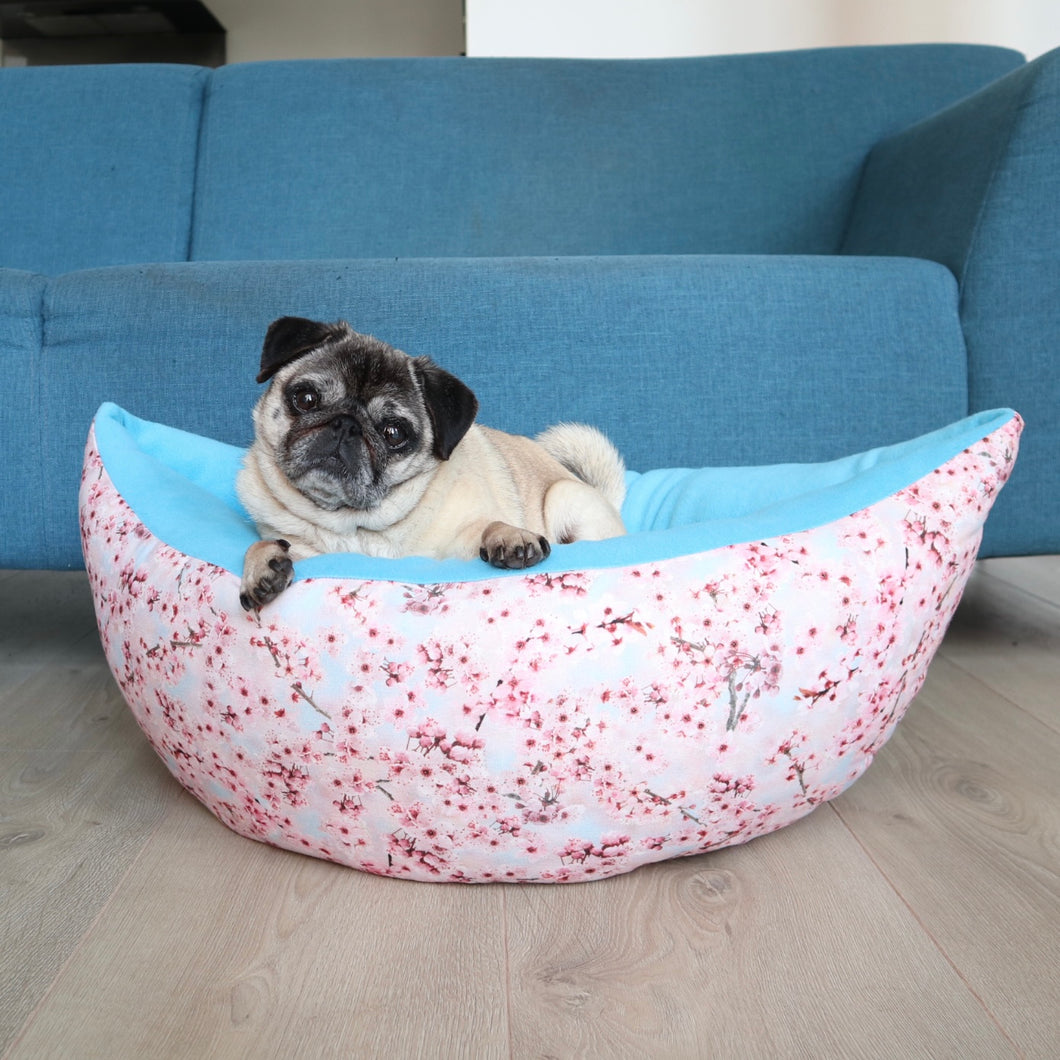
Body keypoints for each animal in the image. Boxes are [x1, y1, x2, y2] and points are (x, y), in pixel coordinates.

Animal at [236, 313, 623, 610]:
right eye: (306, 399)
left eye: (394, 433)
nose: (347, 424)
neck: (359, 527)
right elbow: (261, 546)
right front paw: (263, 565)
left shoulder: (459, 543)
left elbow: (488, 525)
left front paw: (509, 536)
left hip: (566, 498)